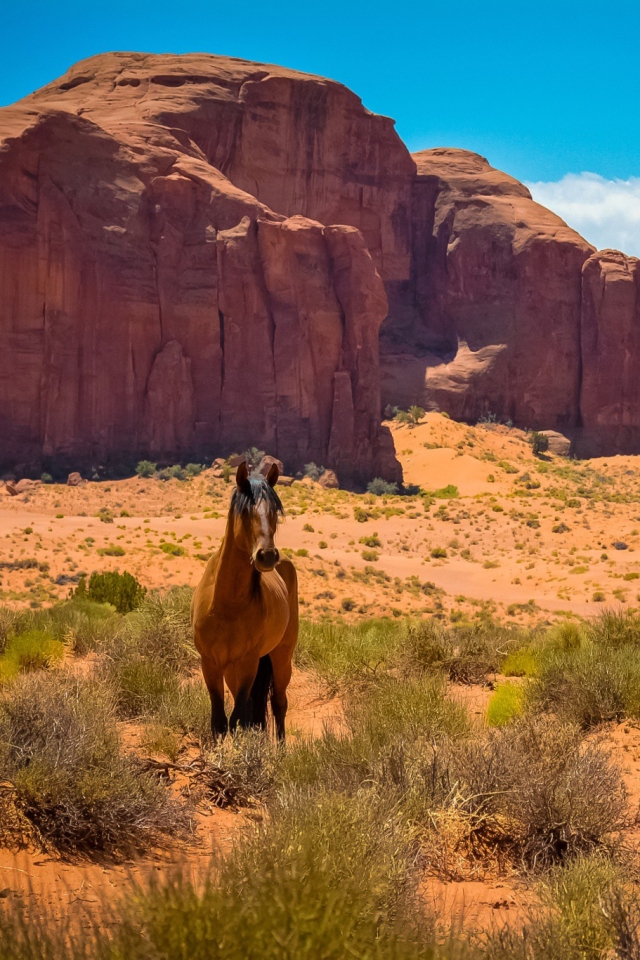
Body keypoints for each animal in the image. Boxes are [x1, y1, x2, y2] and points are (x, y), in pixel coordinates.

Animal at [191, 462, 298, 740]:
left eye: (275, 511)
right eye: (246, 511)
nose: (267, 556)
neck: (227, 605)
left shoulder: (248, 662)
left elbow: (238, 718)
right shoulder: (211, 663)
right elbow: (219, 722)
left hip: (281, 655)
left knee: (278, 703)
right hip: (233, 670)